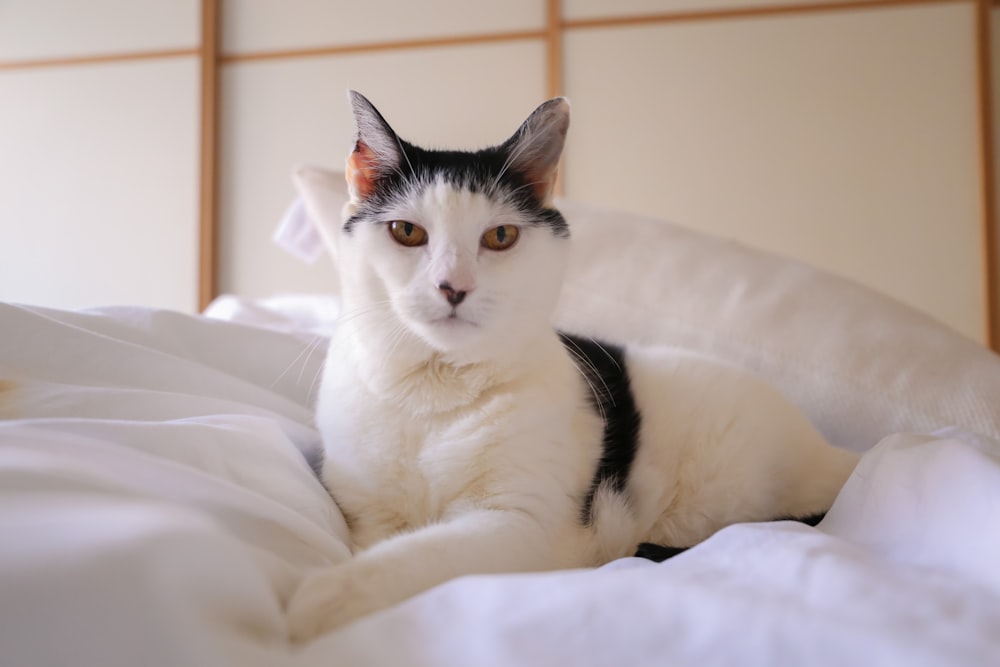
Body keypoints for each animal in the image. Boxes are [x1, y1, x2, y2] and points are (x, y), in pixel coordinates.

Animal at [284, 91, 860, 640]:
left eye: (500, 237)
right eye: (406, 232)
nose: (453, 286)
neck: (435, 389)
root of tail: (834, 454)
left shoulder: (524, 524)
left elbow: (419, 554)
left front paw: (324, 597)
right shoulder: (366, 515)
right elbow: (378, 542)